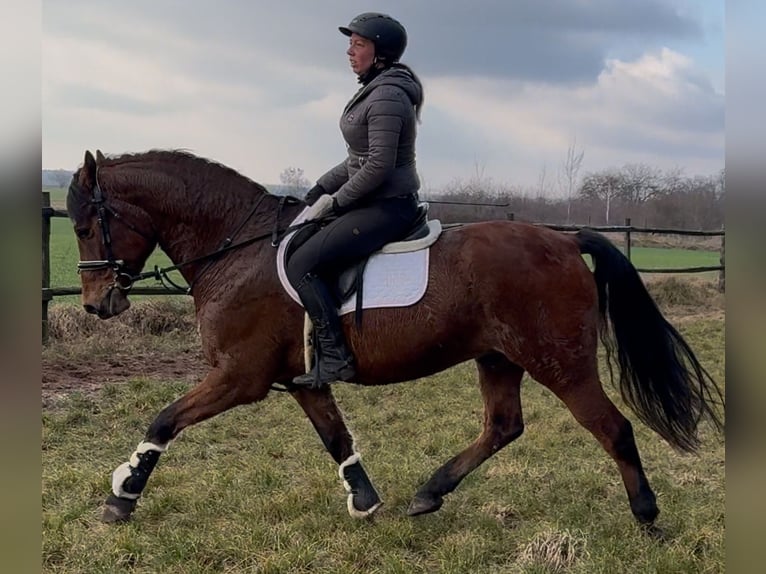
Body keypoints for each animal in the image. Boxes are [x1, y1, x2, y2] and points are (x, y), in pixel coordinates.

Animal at [66, 150, 728, 532]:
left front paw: (123, 495)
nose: (97, 304)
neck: (238, 247)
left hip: (560, 364)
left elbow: (164, 419)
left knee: (612, 429)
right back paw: (428, 494)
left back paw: (648, 517)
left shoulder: (239, 376)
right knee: (503, 427)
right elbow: (336, 437)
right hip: (498, 358)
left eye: (86, 223)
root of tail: (565, 241)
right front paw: (364, 500)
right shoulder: (299, 380)